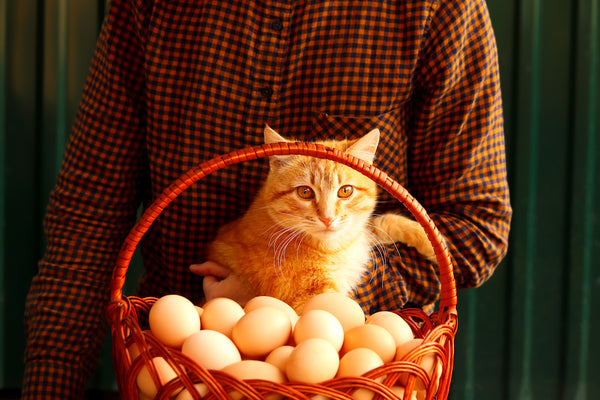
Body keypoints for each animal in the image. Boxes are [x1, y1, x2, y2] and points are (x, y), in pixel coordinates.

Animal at [207, 126, 436, 310]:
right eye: (305, 192)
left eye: (345, 191)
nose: (327, 218)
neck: (335, 247)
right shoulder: (310, 296)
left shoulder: (359, 231)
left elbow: (387, 222)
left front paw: (432, 244)